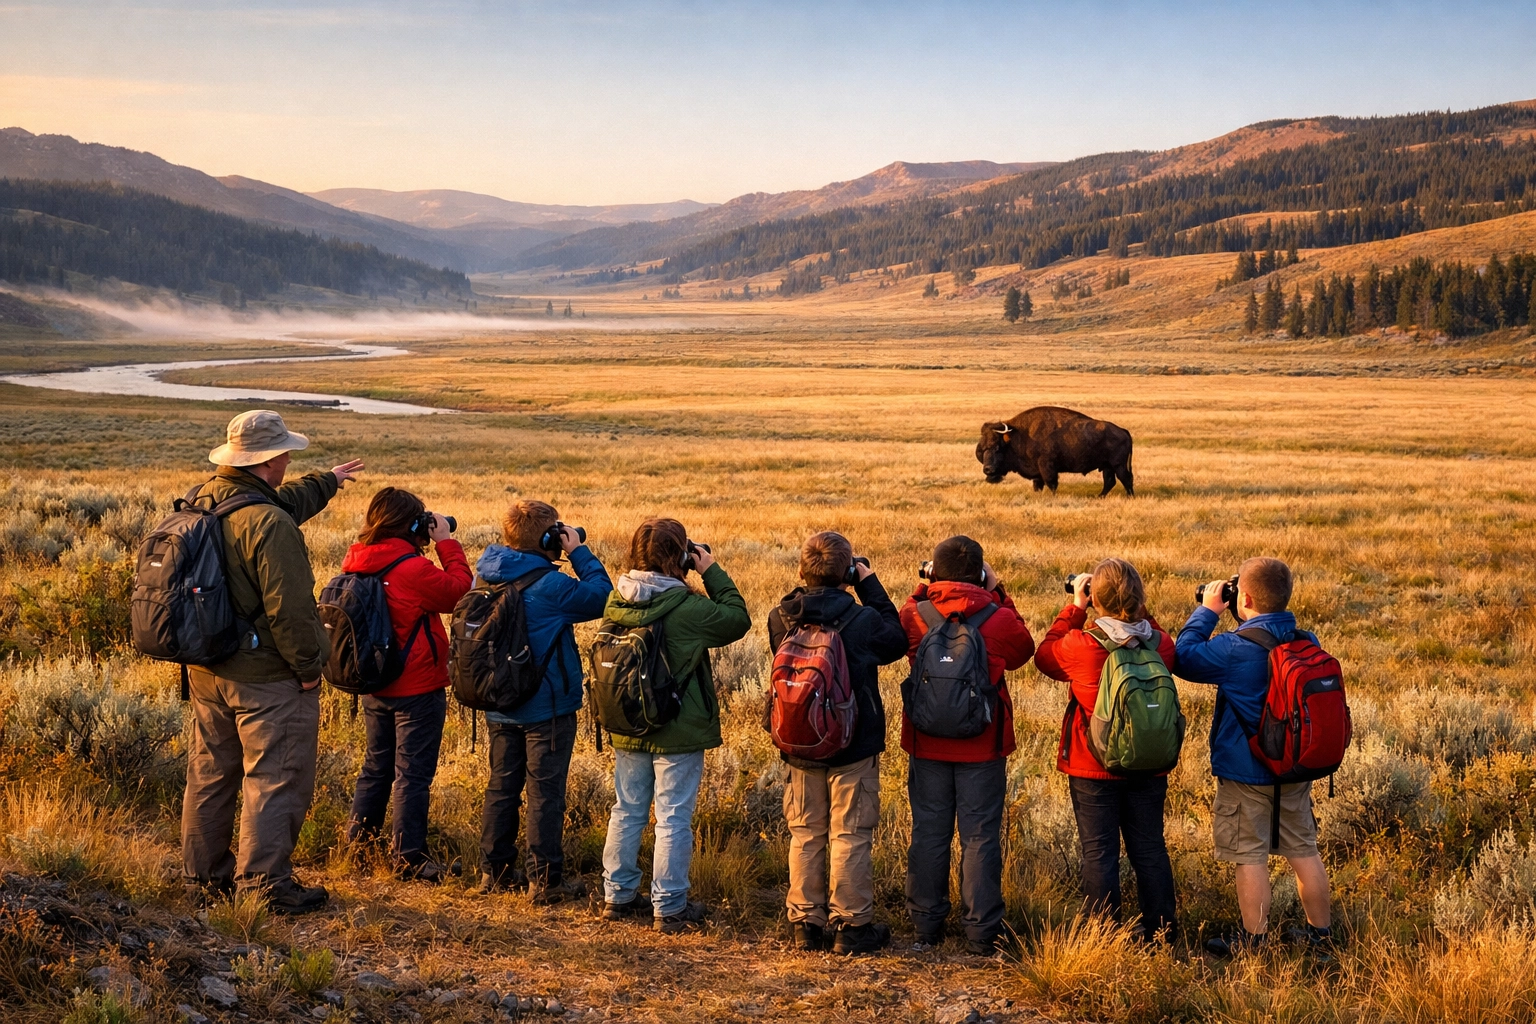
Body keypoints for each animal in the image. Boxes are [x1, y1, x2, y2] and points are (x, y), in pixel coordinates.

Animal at [976, 406, 1134, 496]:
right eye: (983, 449)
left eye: (997, 447)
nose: (988, 470)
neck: (1017, 435)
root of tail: (1123, 431)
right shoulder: (1037, 472)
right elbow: (1038, 485)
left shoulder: (1047, 467)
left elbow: (1051, 483)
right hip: (1107, 466)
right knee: (1110, 481)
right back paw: (1100, 496)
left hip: (1118, 465)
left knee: (1125, 479)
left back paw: (1129, 497)